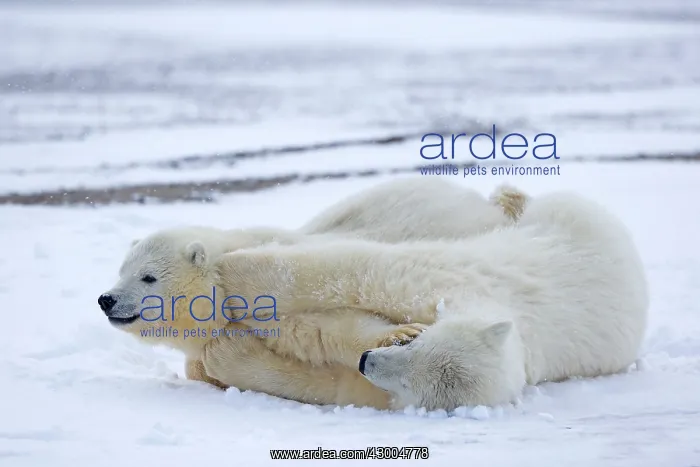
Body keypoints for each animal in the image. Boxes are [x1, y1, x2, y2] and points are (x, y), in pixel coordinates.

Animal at [99, 178, 529, 409]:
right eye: (121, 269)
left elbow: (325, 326)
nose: (106, 299)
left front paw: (397, 335)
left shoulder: (271, 297)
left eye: (148, 277)